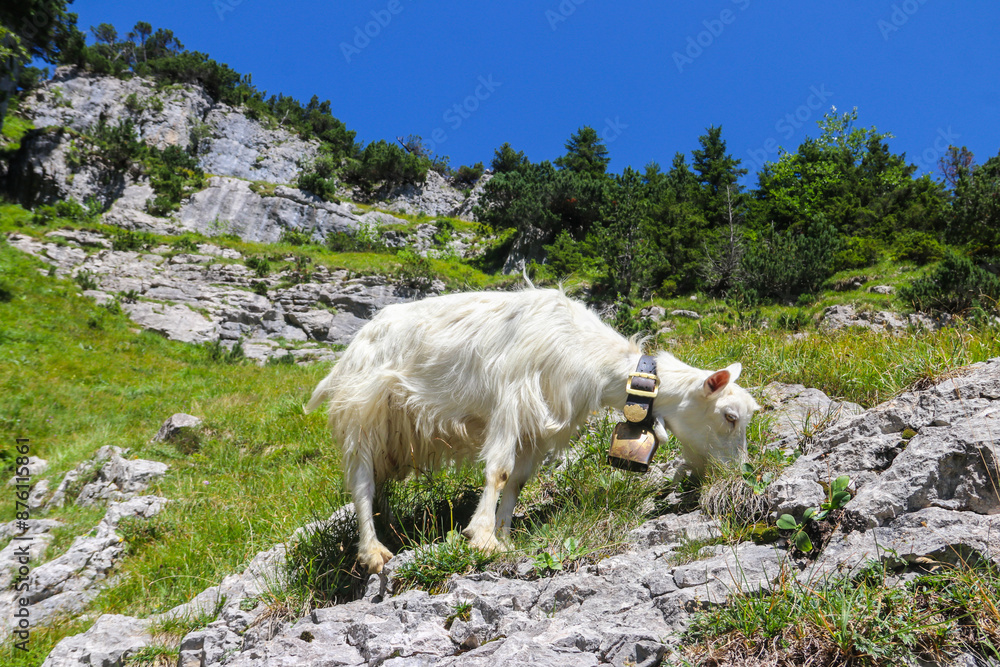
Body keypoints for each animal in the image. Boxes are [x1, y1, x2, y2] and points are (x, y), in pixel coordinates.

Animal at [306, 288, 760, 573]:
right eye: (729, 416)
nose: (738, 475)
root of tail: (359, 338)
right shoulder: (510, 402)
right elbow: (499, 470)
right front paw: (482, 537)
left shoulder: (538, 427)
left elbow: (518, 482)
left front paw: (505, 535)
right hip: (362, 413)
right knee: (362, 485)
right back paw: (373, 551)